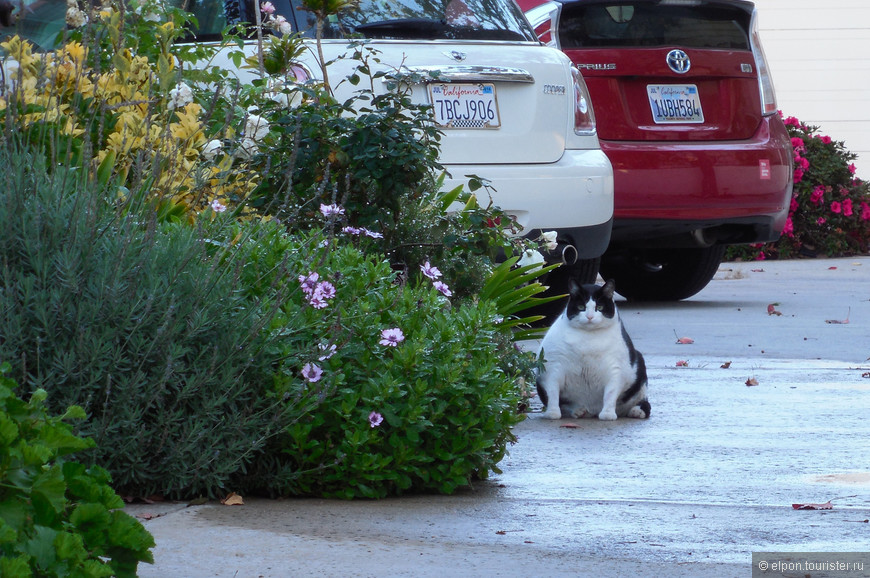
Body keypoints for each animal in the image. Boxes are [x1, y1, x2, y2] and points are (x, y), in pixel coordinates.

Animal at [536, 280, 652, 418]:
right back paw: (578, 410)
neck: (588, 338)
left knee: (642, 402)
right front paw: (552, 413)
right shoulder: (553, 367)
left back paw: (636, 411)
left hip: (640, 370)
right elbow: (552, 392)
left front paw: (608, 414)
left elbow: (610, 393)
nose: (590, 316)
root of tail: (593, 411)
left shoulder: (615, 369)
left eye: (600, 307)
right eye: (581, 307)